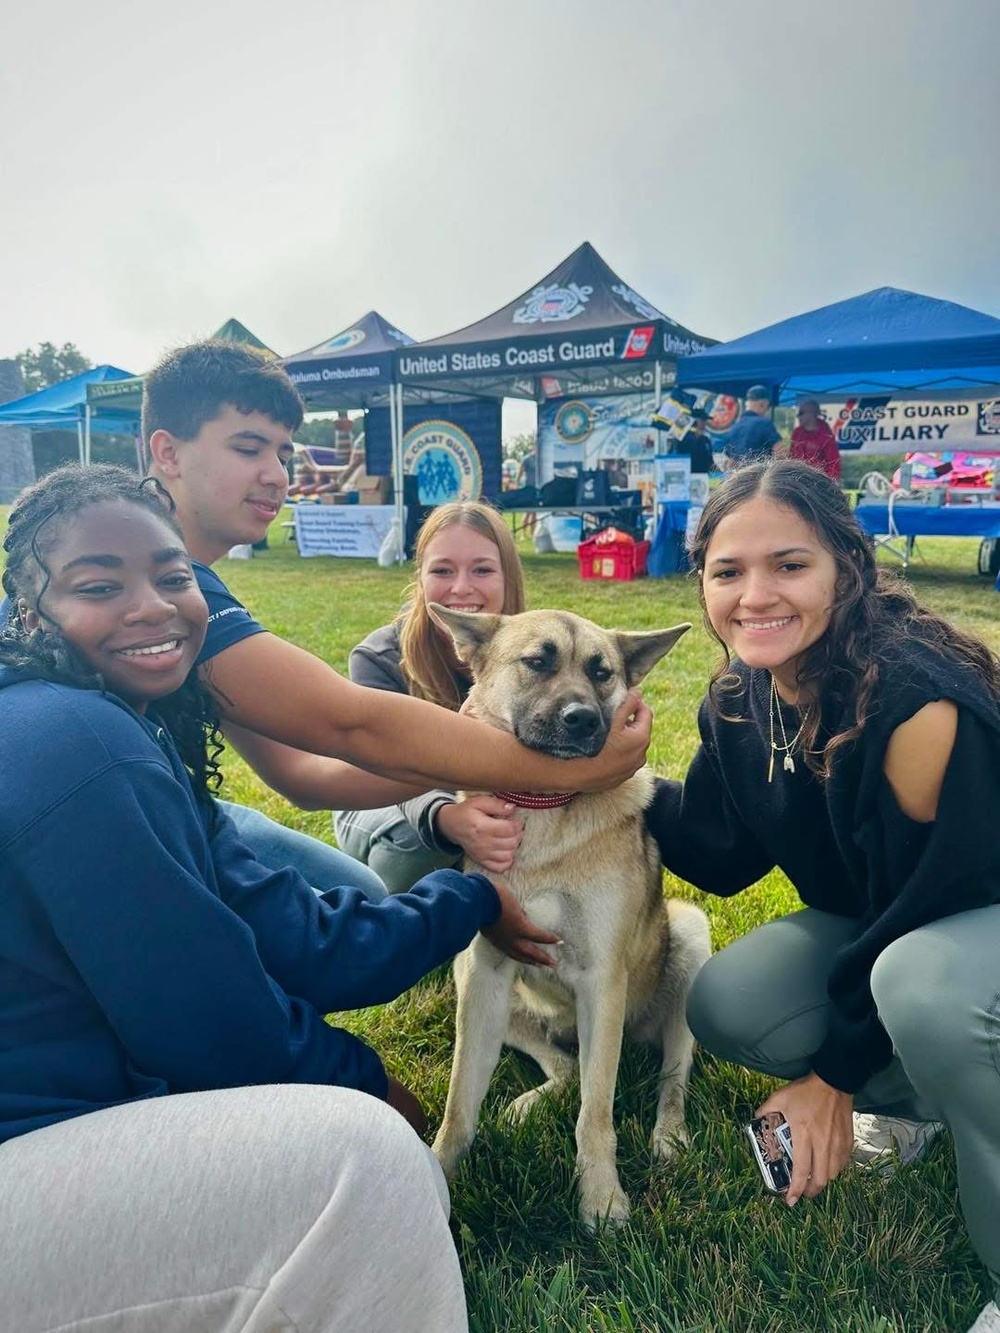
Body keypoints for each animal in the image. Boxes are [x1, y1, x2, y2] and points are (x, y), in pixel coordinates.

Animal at [432, 605, 714, 1226]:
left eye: (601, 672)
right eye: (538, 662)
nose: (583, 720)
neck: (543, 808)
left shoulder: (601, 983)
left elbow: (597, 1115)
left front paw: (601, 1198)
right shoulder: (486, 972)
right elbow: (460, 1105)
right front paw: (437, 1177)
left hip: (688, 940)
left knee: (670, 1076)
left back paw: (669, 1137)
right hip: (474, 982)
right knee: (563, 1067)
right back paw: (531, 1102)